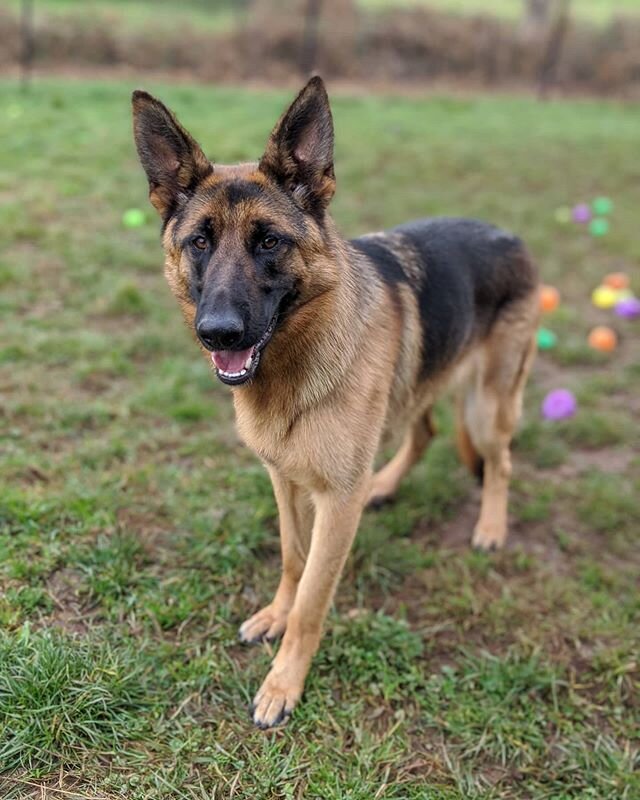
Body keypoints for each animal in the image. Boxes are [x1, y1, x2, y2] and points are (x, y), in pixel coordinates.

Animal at [132, 78, 536, 728]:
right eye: (199, 242)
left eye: (269, 241)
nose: (217, 333)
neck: (294, 364)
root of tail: (511, 236)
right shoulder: (285, 481)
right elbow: (293, 560)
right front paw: (274, 615)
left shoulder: (334, 501)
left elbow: (312, 601)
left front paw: (283, 683)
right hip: (420, 388)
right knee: (422, 433)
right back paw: (385, 485)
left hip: (488, 406)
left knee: (498, 461)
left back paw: (492, 527)